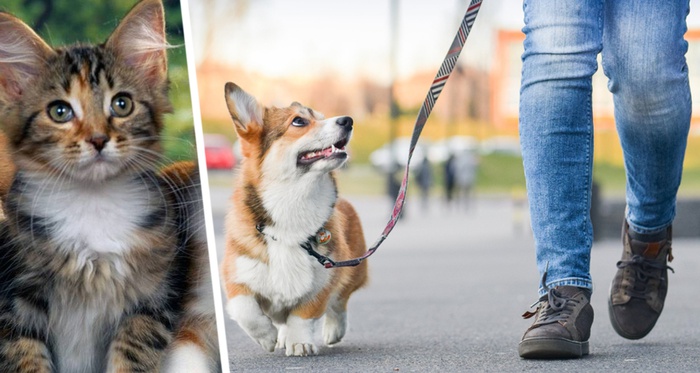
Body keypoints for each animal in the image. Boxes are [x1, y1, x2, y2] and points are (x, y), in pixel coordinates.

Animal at [0, 0, 219, 372]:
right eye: (60, 111)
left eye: (122, 104)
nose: (99, 139)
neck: (92, 203)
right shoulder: (15, 298)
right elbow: (27, 359)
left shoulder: (152, 298)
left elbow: (131, 354)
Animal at [221, 83, 370, 356]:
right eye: (299, 121)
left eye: (321, 117)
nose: (348, 120)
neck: (293, 202)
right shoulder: (235, 275)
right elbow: (245, 310)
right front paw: (267, 337)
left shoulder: (324, 278)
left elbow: (303, 315)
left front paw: (300, 342)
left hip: (353, 269)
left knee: (339, 303)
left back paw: (333, 330)